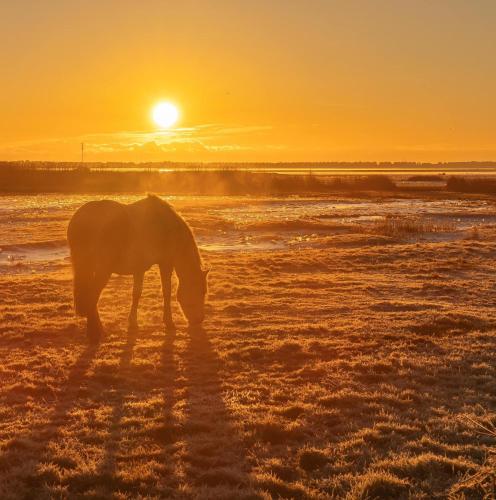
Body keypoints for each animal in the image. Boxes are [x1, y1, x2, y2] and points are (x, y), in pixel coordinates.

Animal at [67, 193, 208, 342]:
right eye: (201, 291)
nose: (199, 320)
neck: (166, 226)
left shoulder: (139, 269)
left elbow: (136, 293)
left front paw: (133, 322)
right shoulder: (166, 263)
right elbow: (166, 291)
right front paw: (169, 322)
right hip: (102, 270)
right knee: (93, 295)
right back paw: (94, 332)